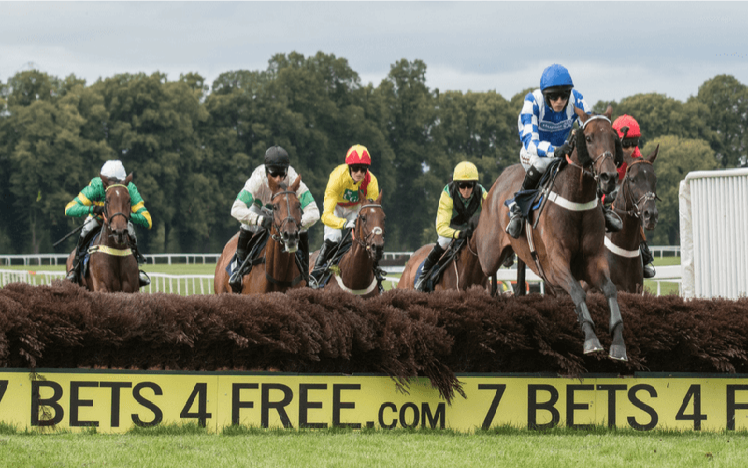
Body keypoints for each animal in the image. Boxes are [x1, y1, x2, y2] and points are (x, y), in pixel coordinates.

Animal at [476, 107, 628, 362]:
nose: (609, 178)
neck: (576, 200)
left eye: (613, 138)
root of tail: (499, 181)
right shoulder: (555, 264)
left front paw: (618, 342)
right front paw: (591, 338)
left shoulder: (593, 260)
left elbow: (610, 289)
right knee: (488, 276)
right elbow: (577, 291)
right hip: (488, 254)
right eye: (588, 138)